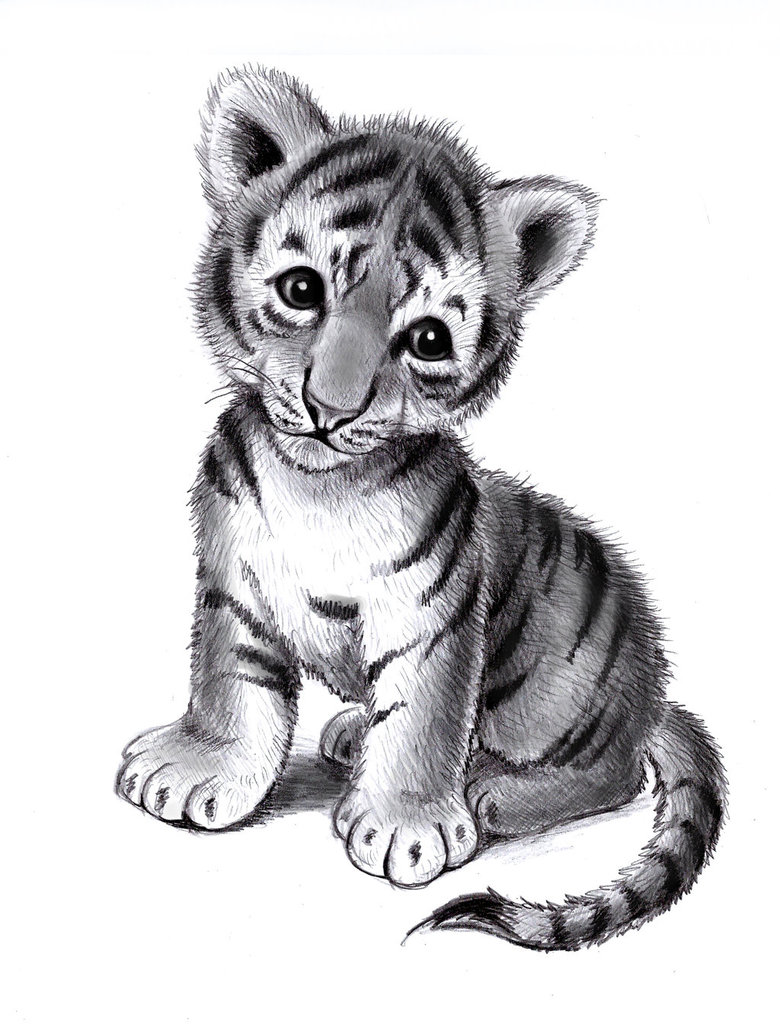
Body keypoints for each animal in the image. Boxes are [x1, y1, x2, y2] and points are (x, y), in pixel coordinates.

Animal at [116, 66, 726, 950]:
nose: (330, 408)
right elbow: (232, 678)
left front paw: (407, 825)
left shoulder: (431, 611)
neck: (317, 483)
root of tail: (654, 697)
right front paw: (200, 765)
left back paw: (494, 792)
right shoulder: (234, 581)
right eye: (302, 290)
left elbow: (422, 716)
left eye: (429, 339)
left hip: (562, 697)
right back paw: (350, 734)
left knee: (607, 773)